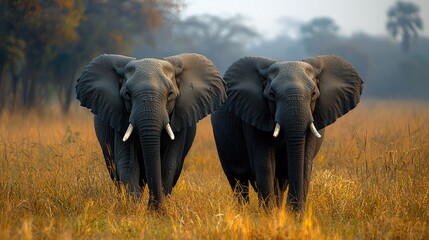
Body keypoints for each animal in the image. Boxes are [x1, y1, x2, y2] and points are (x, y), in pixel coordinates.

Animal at [75, 53, 226, 210]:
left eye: (170, 94)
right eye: (127, 94)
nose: (155, 206)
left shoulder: (179, 120)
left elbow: (169, 164)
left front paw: (156, 211)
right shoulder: (120, 118)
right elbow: (128, 163)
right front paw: (134, 209)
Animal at [211, 54, 362, 212]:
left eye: (314, 94)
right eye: (272, 95)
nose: (292, 208)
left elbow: (305, 163)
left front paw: (291, 214)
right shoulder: (253, 114)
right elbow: (265, 164)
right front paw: (270, 214)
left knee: (279, 182)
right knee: (238, 182)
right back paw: (244, 212)